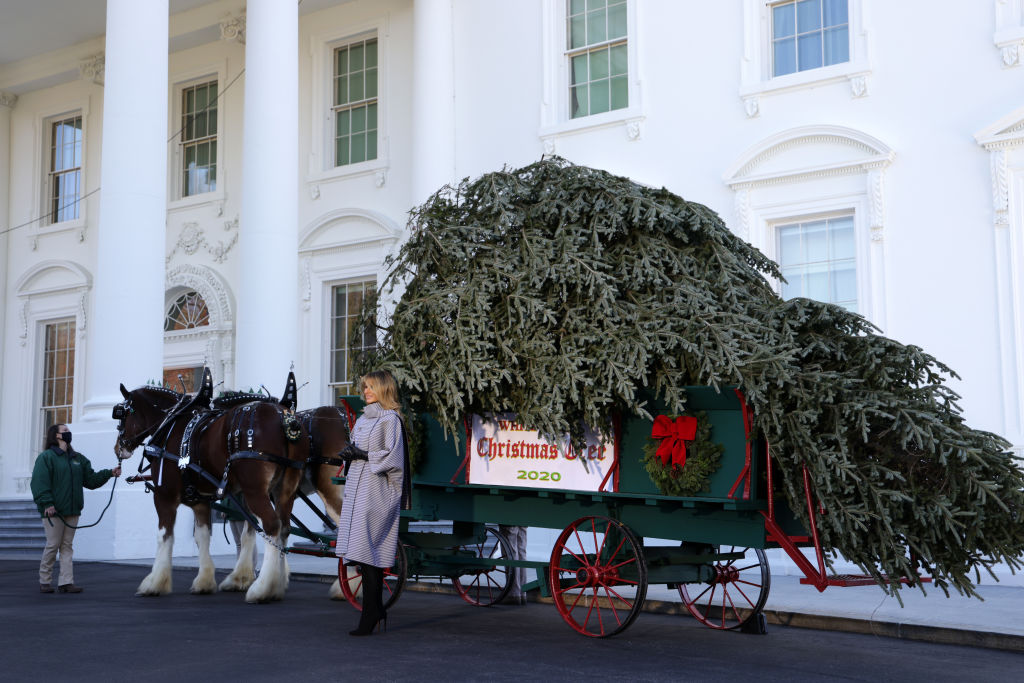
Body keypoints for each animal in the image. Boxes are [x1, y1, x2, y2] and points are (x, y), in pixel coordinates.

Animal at [115, 374, 307, 602]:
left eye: (121, 414)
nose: (118, 447)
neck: (171, 425)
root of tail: (285, 419)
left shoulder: (164, 495)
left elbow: (164, 536)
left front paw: (155, 582)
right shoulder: (200, 500)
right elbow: (203, 536)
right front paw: (205, 581)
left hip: (255, 491)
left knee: (271, 526)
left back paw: (263, 588)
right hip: (284, 490)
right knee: (283, 528)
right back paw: (276, 584)